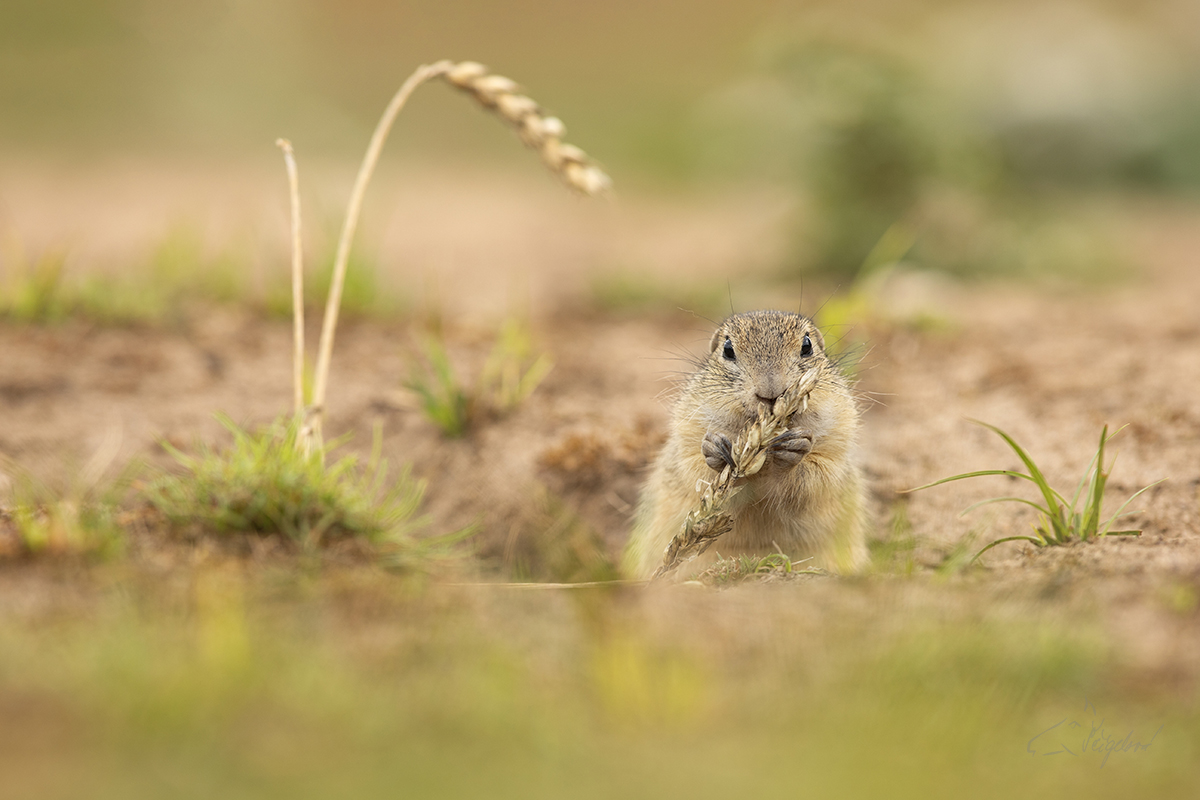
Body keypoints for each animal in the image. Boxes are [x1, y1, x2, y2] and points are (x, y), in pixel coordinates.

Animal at [624, 309, 868, 578]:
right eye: (728, 349)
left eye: (807, 346)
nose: (771, 393)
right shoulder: (686, 436)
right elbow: (695, 471)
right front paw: (716, 449)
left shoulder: (838, 444)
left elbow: (818, 476)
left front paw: (794, 447)